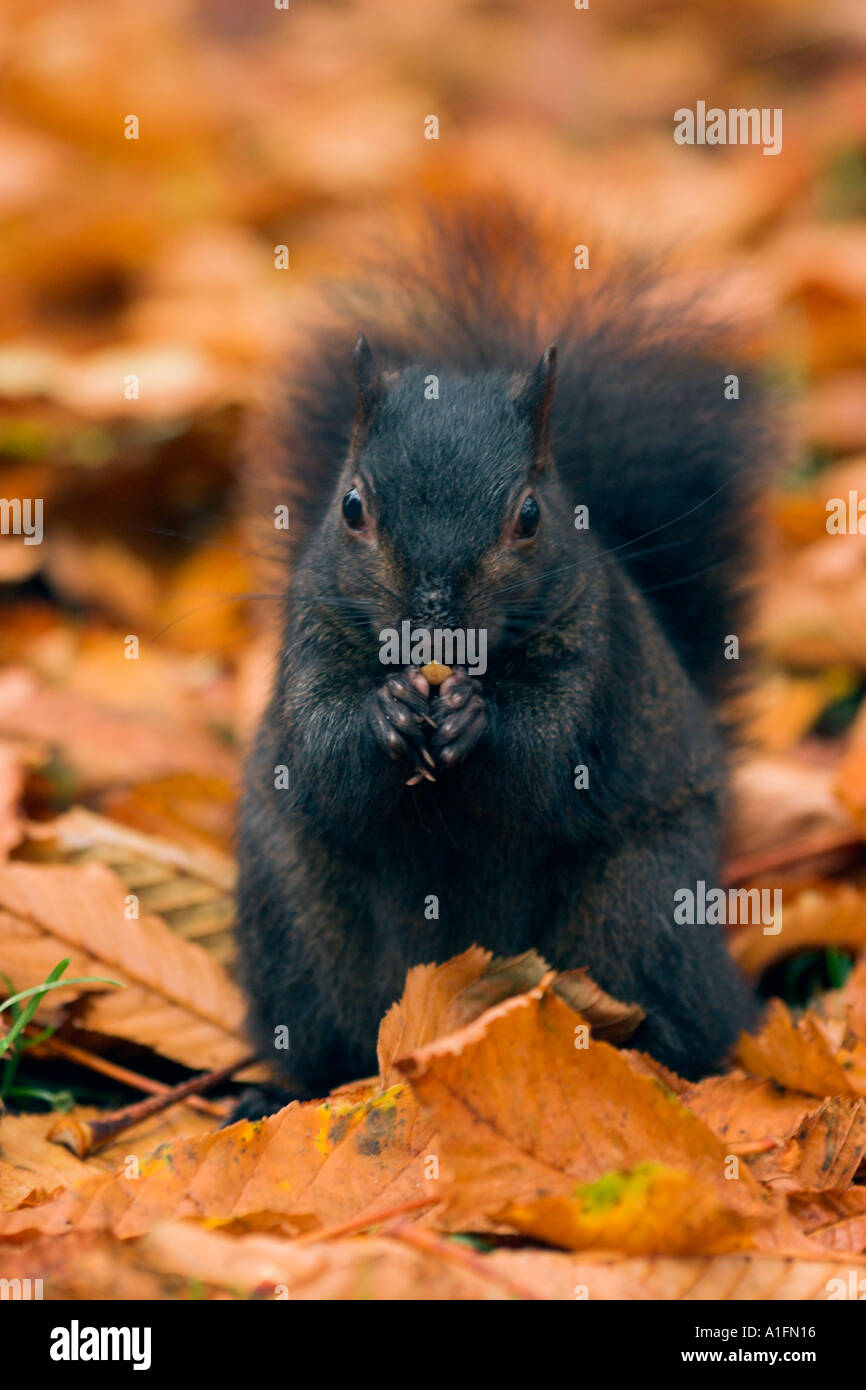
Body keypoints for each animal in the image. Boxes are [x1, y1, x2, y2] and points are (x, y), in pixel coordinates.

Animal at [234, 195, 772, 1112]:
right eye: (351, 507)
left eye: (529, 515)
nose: (433, 625)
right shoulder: (313, 635)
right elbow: (321, 748)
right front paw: (387, 714)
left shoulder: (594, 652)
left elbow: (551, 761)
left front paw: (472, 721)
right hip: (295, 918)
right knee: (322, 1035)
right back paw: (279, 1093)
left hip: (639, 905)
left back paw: (657, 1063)